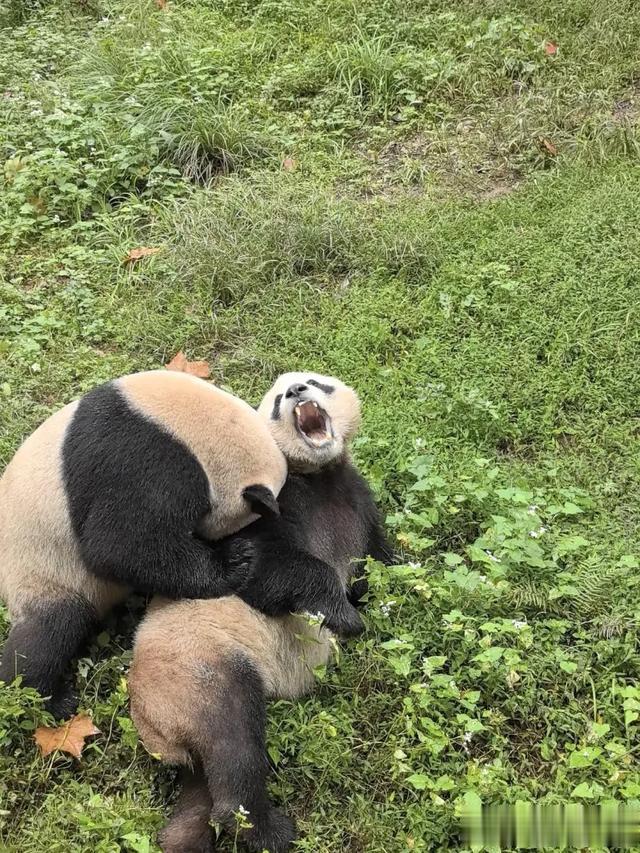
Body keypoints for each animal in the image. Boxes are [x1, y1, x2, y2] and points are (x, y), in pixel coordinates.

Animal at [0, 370, 363, 719]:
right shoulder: (146, 460)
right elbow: (118, 545)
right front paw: (235, 562)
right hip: (43, 567)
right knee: (50, 632)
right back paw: (49, 698)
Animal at [128, 372, 390, 853]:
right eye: (276, 402)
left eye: (316, 382)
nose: (297, 392)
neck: (316, 475)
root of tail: (156, 730)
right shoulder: (261, 509)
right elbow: (258, 569)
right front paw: (345, 617)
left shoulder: (359, 502)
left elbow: (380, 562)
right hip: (198, 667)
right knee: (234, 740)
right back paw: (265, 829)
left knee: (203, 786)